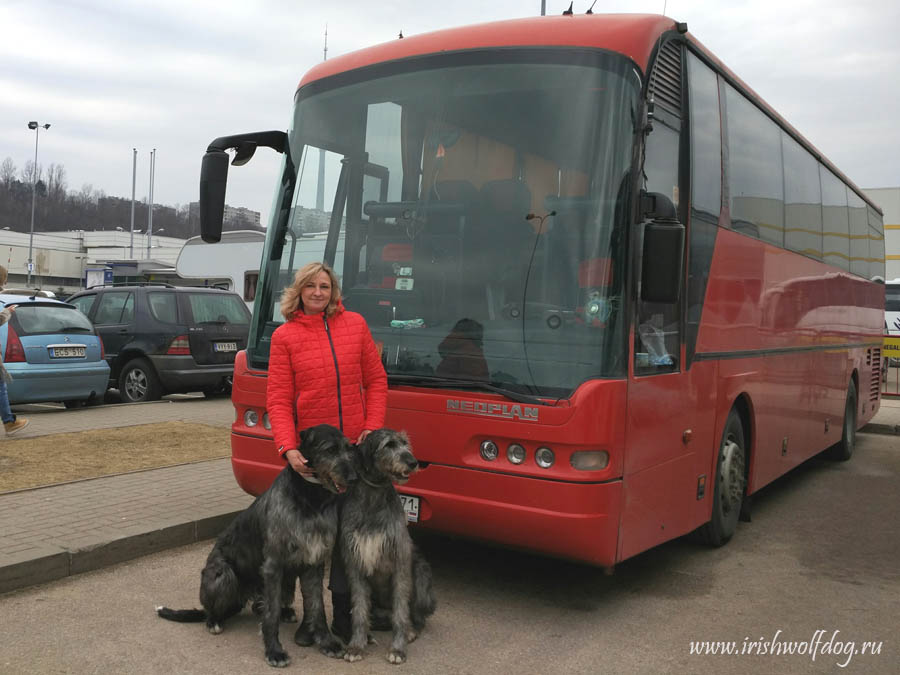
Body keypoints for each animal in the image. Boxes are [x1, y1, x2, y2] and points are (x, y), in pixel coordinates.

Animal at [155, 426, 356, 668]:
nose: (354, 477)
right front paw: (274, 651)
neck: (310, 498)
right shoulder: (273, 566)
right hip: (223, 574)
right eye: (330, 449)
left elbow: (317, 606)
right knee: (217, 606)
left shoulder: (313, 562)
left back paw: (283, 611)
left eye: (348, 448)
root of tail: (242, 597)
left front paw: (327, 642)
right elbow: (270, 615)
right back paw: (214, 620)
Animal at [342, 430, 436, 664]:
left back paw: (411, 630)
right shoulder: (355, 563)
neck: (373, 499)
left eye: (405, 444)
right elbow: (359, 609)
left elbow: (401, 612)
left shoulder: (400, 562)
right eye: (389, 445)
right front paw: (356, 646)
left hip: (422, 576)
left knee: (416, 615)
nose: (413, 462)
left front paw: (397, 649)